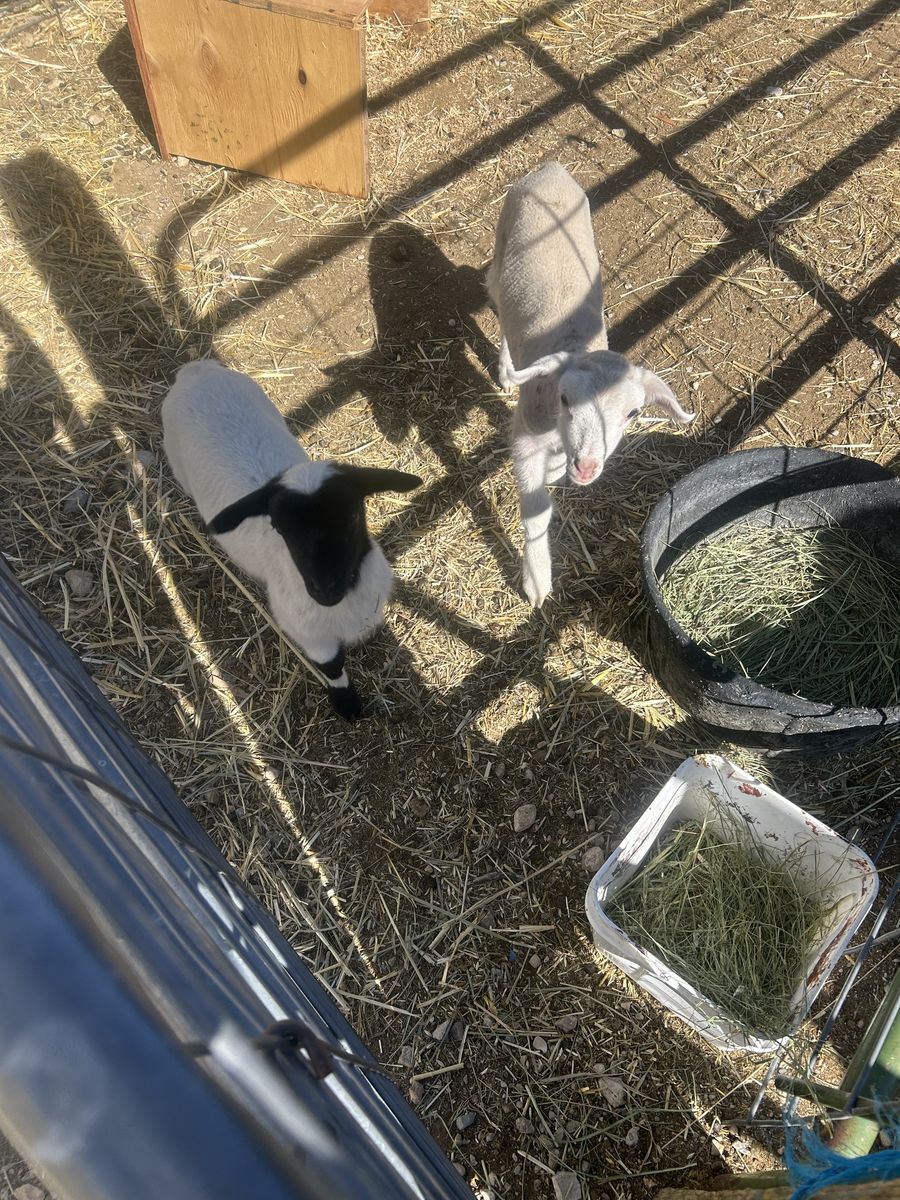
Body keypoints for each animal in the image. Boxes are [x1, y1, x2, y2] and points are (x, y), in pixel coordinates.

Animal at [162, 361, 421, 721]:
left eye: (352, 516)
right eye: (279, 527)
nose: (324, 589)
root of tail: (197, 370)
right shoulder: (309, 635)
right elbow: (332, 666)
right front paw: (347, 704)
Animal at [486, 162, 694, 606]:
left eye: (633, 413)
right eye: (565, 398)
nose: (586, 467)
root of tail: (551, 168)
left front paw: (558, 470)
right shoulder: (525, 435)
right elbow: (536, 511)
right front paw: (537, 581)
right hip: (502, 241)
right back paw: (506, 369)